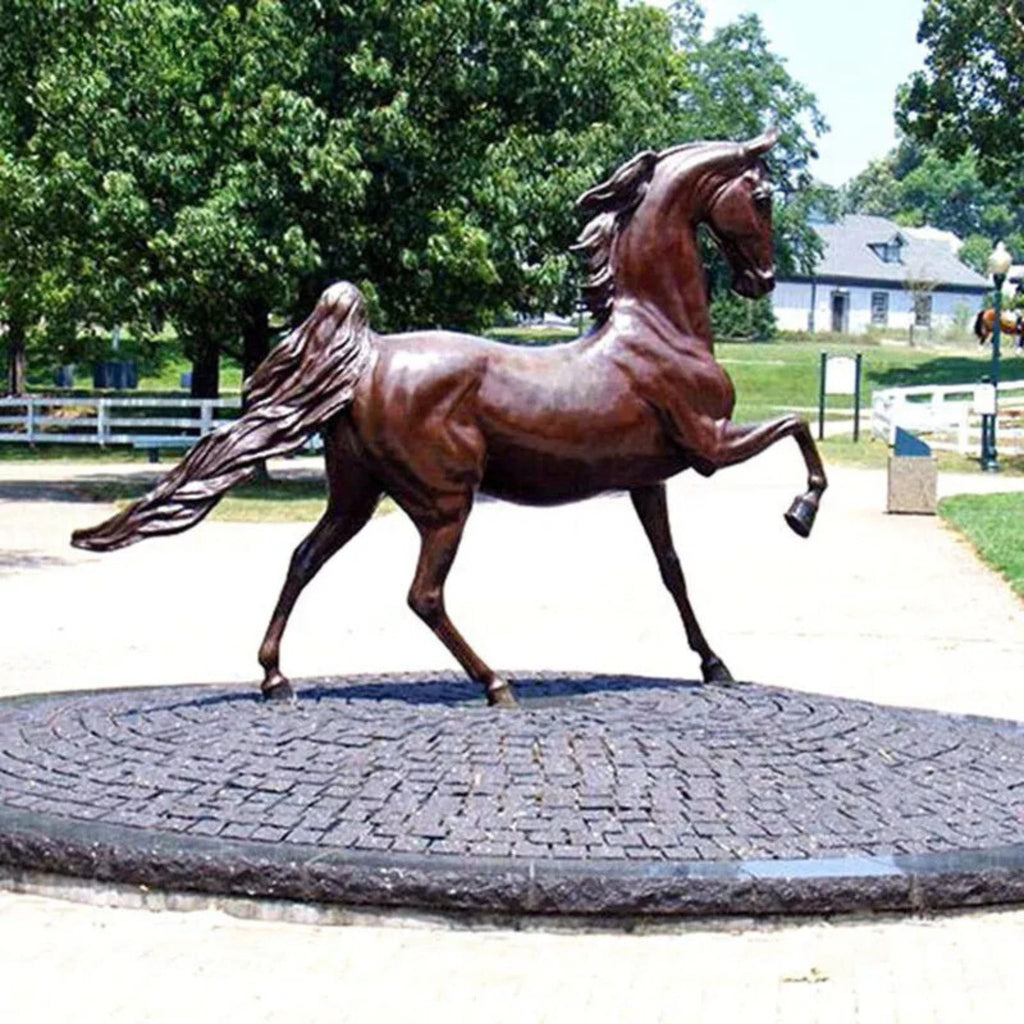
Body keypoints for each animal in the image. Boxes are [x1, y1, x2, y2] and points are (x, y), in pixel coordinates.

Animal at [74, 132, 823, 708]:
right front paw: (800, 515)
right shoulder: (709, 447)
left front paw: (714, 664)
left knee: (303, 558)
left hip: (356, 495)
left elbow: (672, 569)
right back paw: (497, 684)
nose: (762, 279)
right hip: (443, 503)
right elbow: (797, 429)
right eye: (762, 196)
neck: (660, 329)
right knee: (423, 595)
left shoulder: (651, 479)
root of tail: (368, 358)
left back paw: (275, 679)